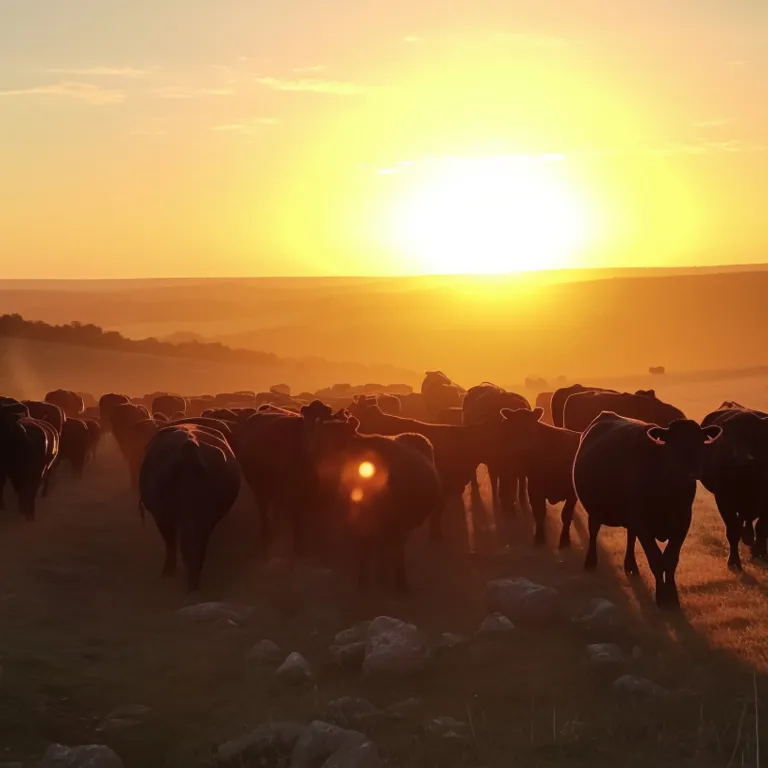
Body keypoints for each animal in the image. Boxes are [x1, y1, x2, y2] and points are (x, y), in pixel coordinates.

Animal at [139, 424, 240, 590]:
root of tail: (189, 447)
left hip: (166, 516)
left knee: (176, 543)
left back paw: (174, 572)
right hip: (201, 518)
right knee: (194, 545)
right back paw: (192, 579)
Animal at [499, 407, 580, 548]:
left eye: (531, 427)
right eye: (513, 428)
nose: (522, 448)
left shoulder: (571, 493)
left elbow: (566, 515)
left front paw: (564, 540)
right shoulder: (535, 489)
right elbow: (539, 513)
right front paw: (539, 538)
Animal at [573, 412, 721, 608]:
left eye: (700, 441)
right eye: (673, 443)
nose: (692, 471)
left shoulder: (682, 522)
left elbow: (671, 559)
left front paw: (672, 595)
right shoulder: (643, 523)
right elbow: (656, 559)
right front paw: (662, 596)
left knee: (630, 536)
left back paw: (631, 565)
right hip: (596, 508)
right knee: (593, 529)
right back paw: (590, 561)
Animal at [701, 405, 768, 570]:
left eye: (756, 435)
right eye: (729, 438)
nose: (741, 457)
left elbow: (762, 528)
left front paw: (758, 551)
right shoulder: (723, 499)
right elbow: (733, 530)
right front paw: (734, 561)